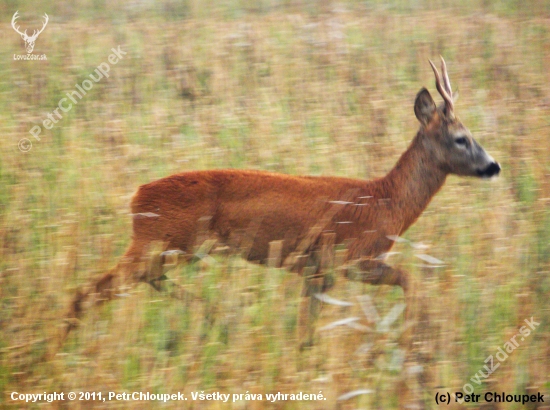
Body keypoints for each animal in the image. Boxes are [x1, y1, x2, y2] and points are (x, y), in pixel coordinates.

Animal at [62, 56, 502, 346]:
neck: (385, 202)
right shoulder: (351, 257)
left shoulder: (316, 271)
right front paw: (416, 336)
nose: (494, 165)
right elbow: (411, 280)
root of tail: (136, 196)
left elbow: (307, 328)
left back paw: (214, 316)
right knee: (89, 292)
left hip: (169, 248)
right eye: (461, 138)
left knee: (138, 283)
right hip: (161, 242)